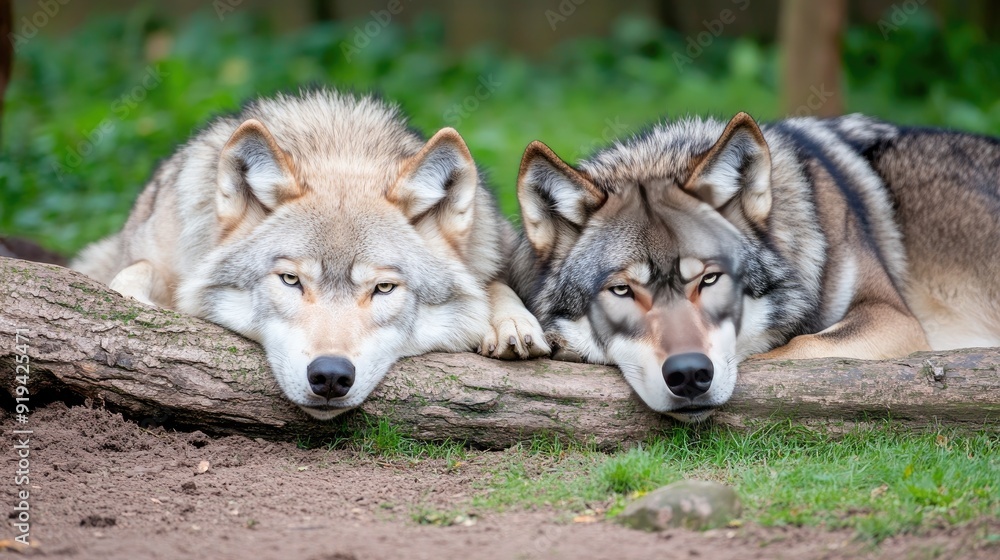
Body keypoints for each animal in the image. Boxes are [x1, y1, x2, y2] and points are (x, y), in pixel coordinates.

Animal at [72, 89, 549, 419]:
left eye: (383, 288)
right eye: (291, 280)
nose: (331, 376)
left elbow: (496, 285)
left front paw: (510, 322)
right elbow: (136, 272)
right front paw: (136, 304)